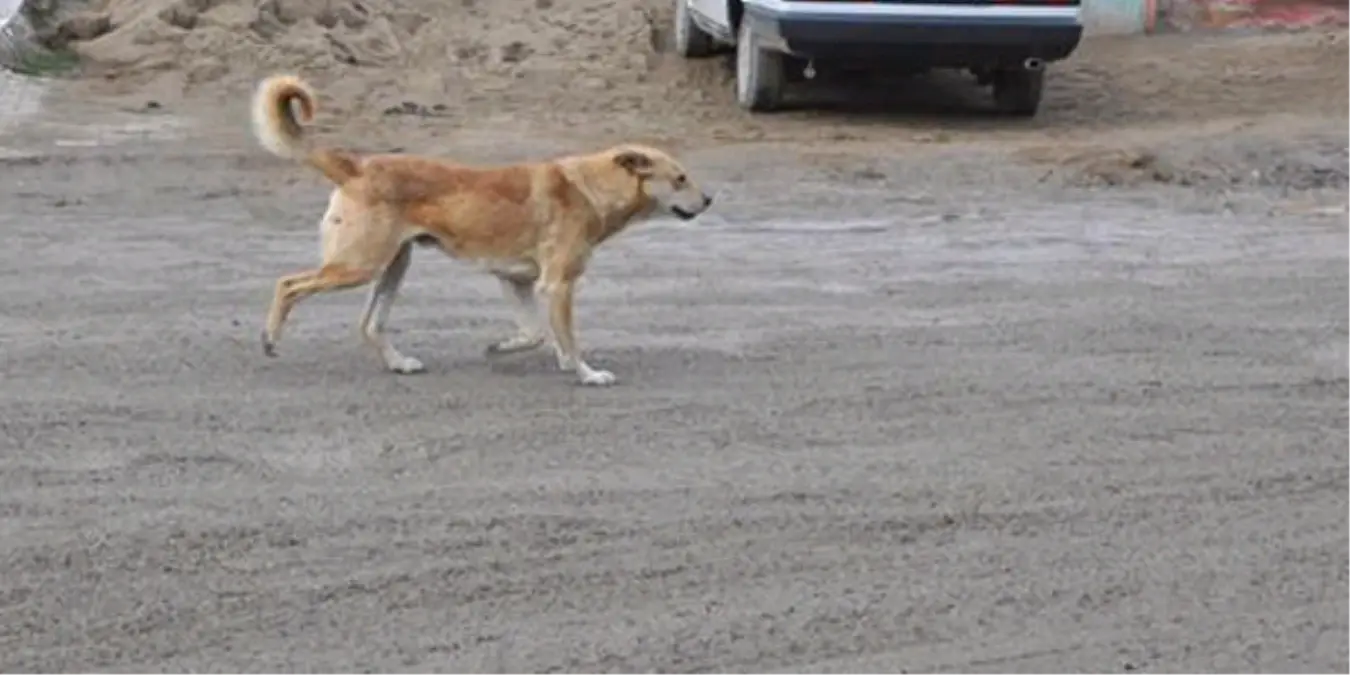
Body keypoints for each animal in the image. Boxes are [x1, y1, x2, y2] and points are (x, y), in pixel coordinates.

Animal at [253, 73, 718, 386]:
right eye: (680, 179)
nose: (710, 200)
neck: (590, 187)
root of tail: (357, 166)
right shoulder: (557, 285)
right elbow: (567, 336)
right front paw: (586, 372)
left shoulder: (516, 281)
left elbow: (535, 333)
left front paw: (508, 348)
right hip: (359, 266)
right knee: (288, 284)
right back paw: (270, 339)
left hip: (392, 268)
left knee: (370, 326)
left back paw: (399, 363)